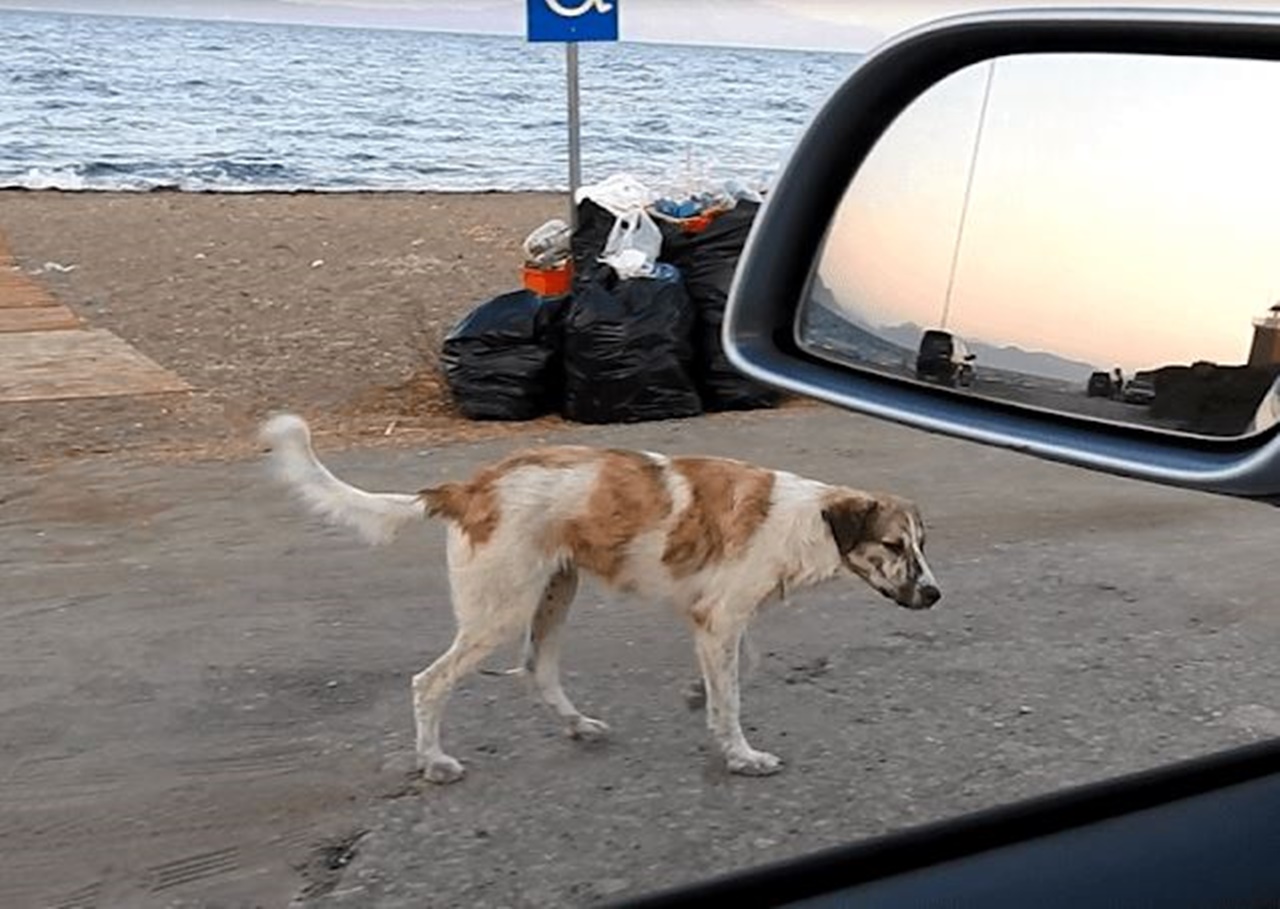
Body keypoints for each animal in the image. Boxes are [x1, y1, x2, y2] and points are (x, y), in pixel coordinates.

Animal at [262, 412, 942, 783]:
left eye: (922, 543)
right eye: (893, 545)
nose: (936, 595)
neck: (806, 520)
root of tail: (469, 489)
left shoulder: (718, 621)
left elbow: (737, 671)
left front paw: (698, 696)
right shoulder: (720, 618)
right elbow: (733, 699)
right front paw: (740, 755)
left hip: (553, 595)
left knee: (537, 670)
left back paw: (577, 725)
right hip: (499, 613)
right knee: (428, 683)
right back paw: (434, 761)